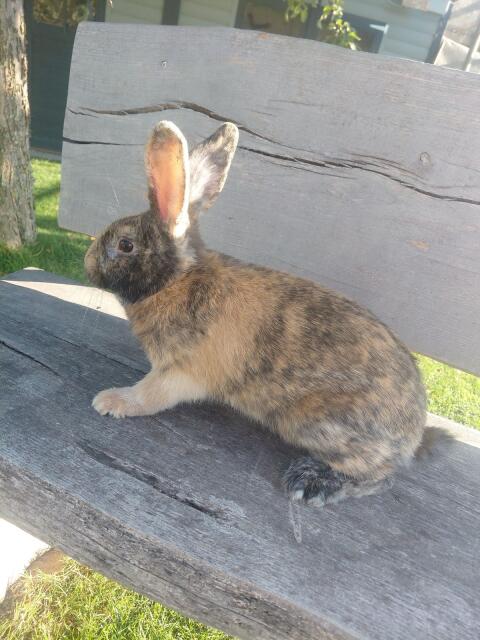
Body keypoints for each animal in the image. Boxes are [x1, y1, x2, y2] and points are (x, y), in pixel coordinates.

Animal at [84, 120, 428, 507]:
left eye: (125, 245)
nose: (87, 262)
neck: (178, 280)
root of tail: (413, 432)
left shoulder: (177, 373)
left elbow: (148, 395)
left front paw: (111, 400)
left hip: (318, 424)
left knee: (380, 476)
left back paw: (312, 482)